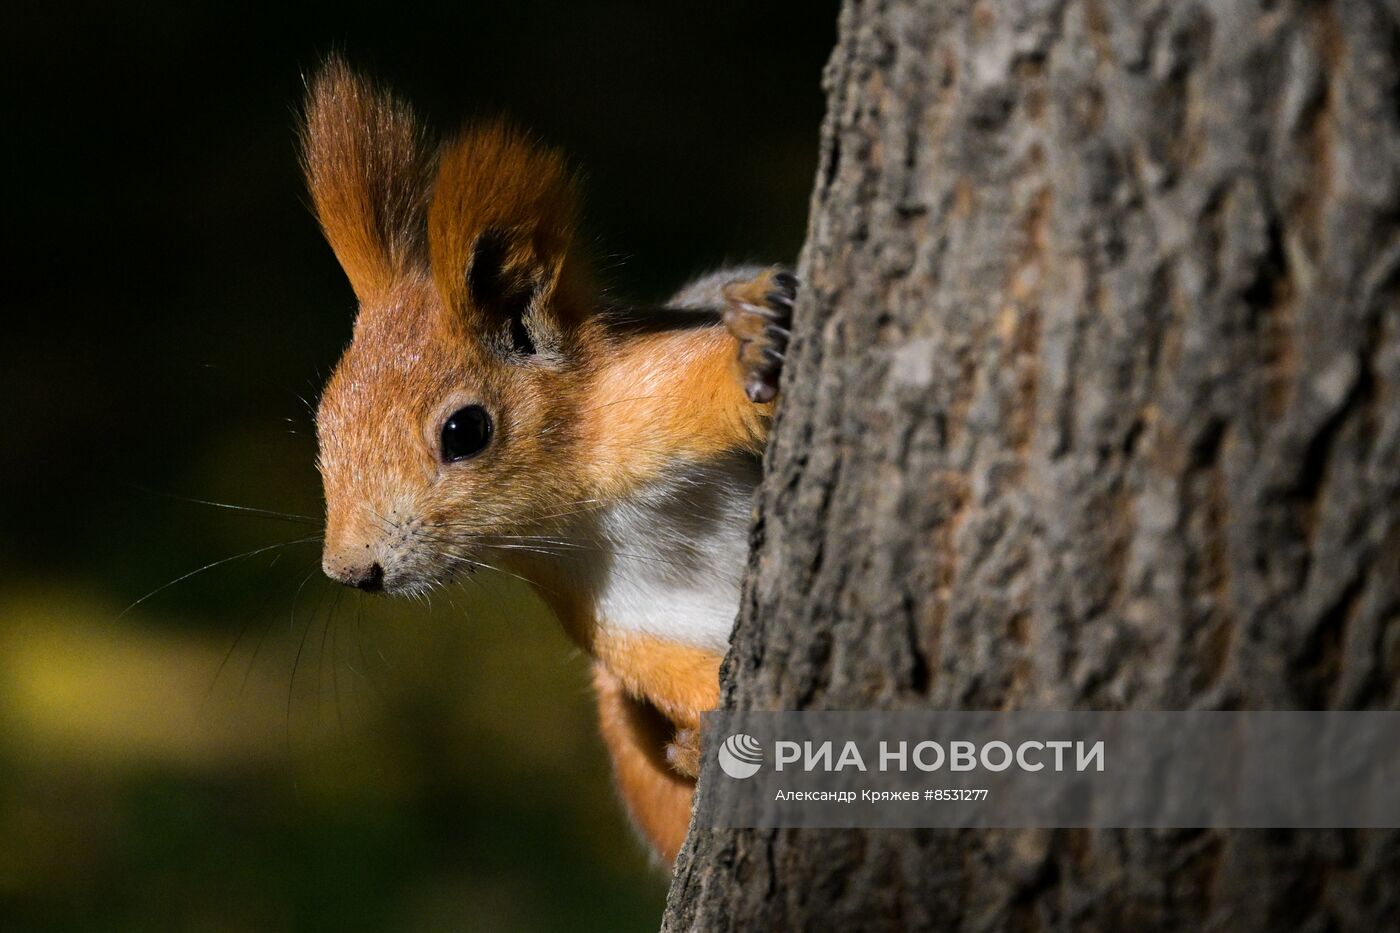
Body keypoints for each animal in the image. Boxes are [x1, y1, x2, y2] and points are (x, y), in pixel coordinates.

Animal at [301, 59, 795, 862]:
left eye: (465, 431)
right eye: (324, 427)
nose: (352, 570)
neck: (579, 517)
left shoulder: (644, 398)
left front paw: (758, 343)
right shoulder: (625, 621)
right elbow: (682, 676)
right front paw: (701, 735)